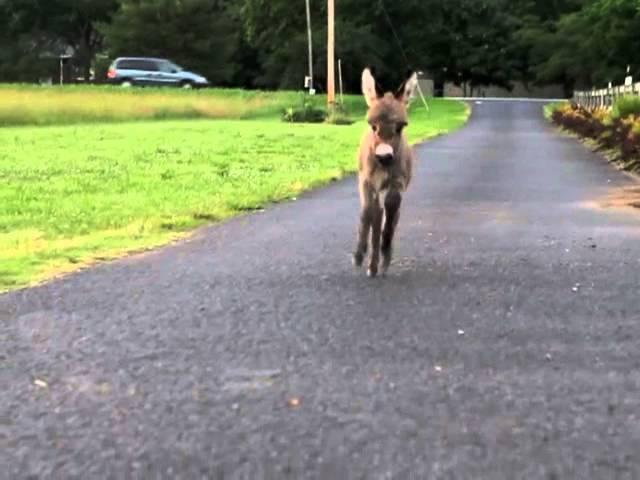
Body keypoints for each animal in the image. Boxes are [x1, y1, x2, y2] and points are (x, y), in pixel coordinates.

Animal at [350, 68, 420, 278]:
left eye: (401, 126)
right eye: (371, 124)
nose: (384, 156)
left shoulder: (397, 182)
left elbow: (389, 213)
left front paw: (384, 254)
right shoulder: (366, 180)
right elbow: (368, 213)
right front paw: (360, 257)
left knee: (388, 215)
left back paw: (381, 260)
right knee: (373, 213)